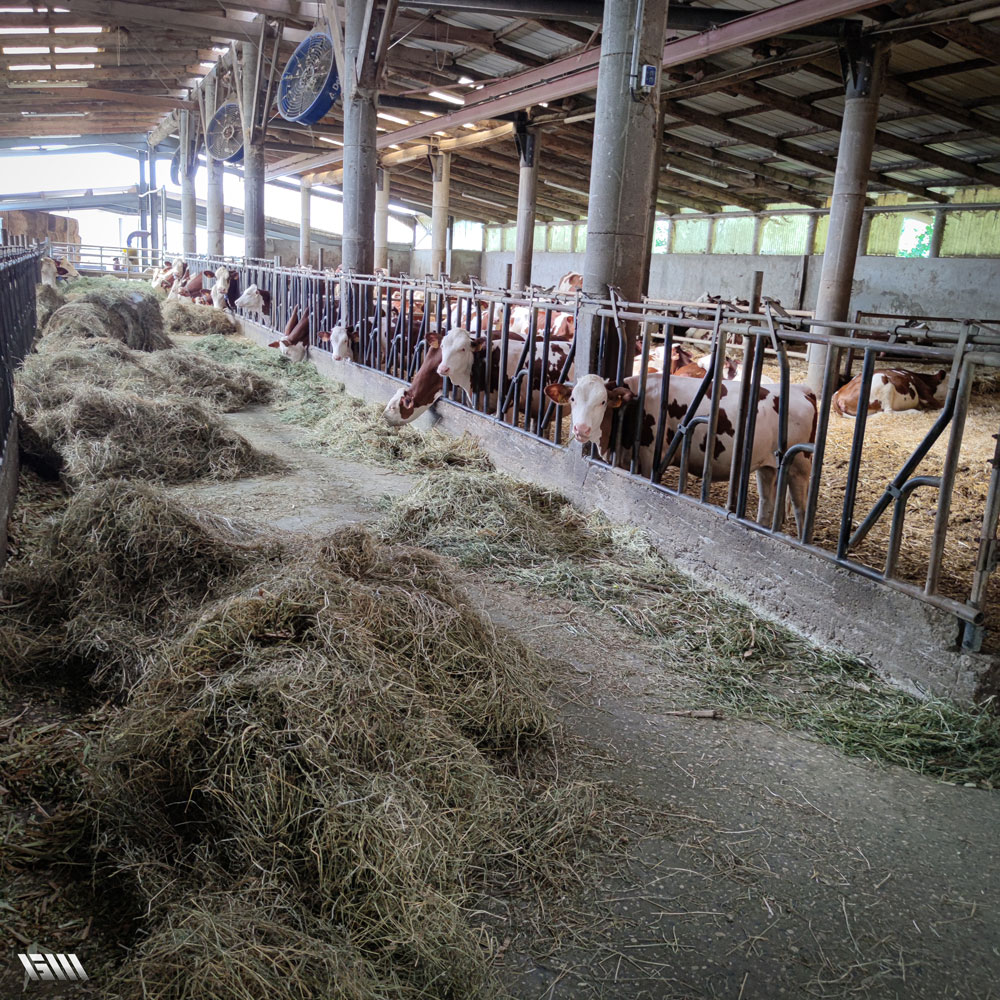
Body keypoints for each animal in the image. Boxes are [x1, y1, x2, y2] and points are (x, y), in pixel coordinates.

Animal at [548, 376, 820, 532]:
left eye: (603, 402)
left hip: (799, 465)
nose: (581, 429)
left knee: (801, 508)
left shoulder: (649, 460)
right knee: (767, 502)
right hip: (767, 466)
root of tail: (803, 389)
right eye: (572, 399)